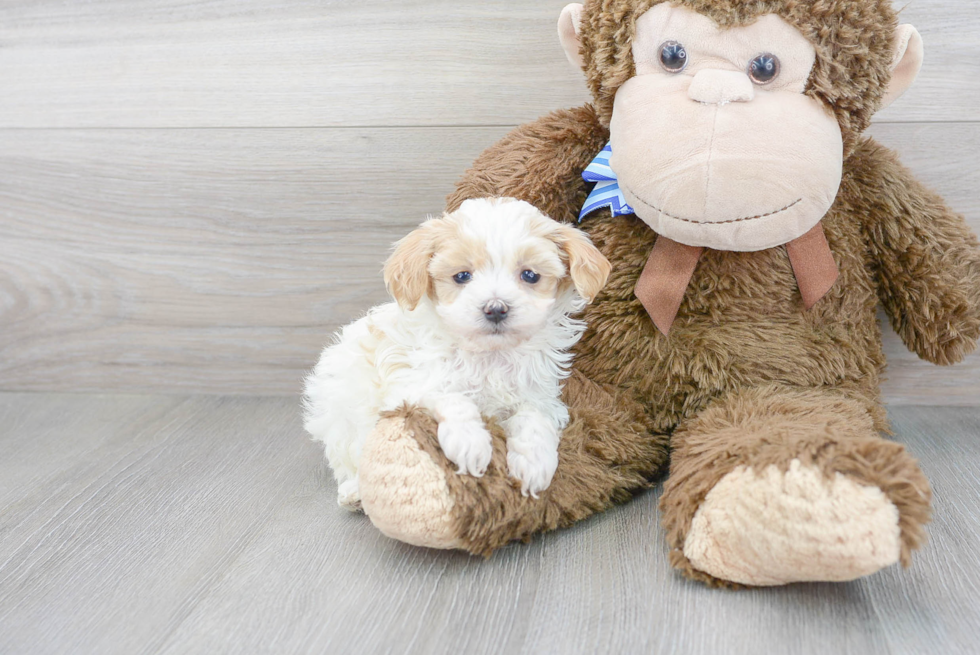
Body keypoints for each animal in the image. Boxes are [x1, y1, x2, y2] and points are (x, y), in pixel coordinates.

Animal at [306, 197, 608, 510]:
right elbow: (452, 397)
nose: (496, 308)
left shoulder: (540, 395)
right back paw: (353, 491)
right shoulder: (411, 385)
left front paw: (533, 464)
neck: (490, 356)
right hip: (341, 416)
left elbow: (534, 418)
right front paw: (470, 443)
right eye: (462, 276)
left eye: (530, 275)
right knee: (350, 459)